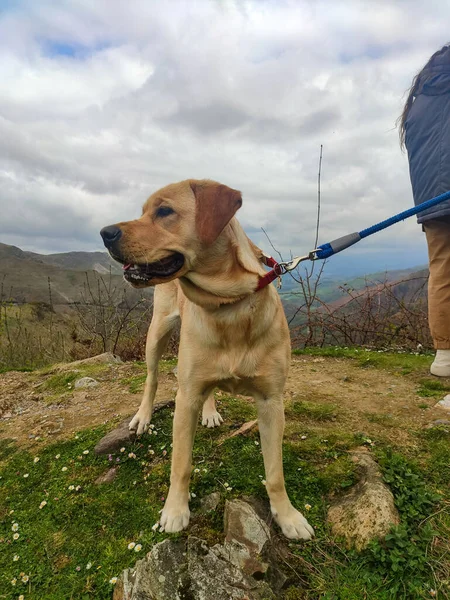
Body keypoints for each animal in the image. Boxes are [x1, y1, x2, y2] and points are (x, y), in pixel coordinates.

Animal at [101, 178, 312, 540]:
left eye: (164, 211)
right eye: (143, 211)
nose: (104, 232)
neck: (227, 305)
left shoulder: (272, 402)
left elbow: (275, 472)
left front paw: (287, 516)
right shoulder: (185, 399)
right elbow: (181, 464)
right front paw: (175, 510)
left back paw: (210, 411)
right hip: (157, 333)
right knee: (152, 378)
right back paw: (143, 416)